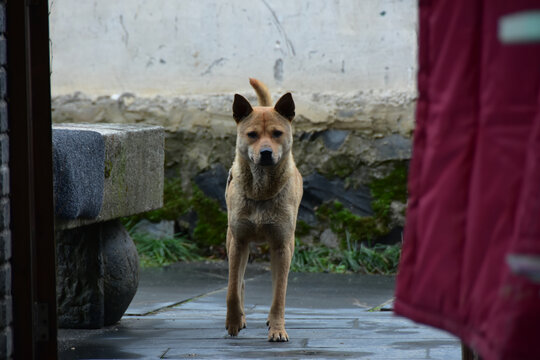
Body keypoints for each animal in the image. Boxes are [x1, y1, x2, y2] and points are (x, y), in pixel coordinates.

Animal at [226, 78, 304, 340]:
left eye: (277, 133)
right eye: (252, 135)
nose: (266, 153)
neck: (261, 192)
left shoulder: (282, 246)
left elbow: (279, 294)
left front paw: (277, 329)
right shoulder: (238, 242)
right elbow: (232, 289)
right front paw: (233, 321)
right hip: (230, 240)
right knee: (239, 281)